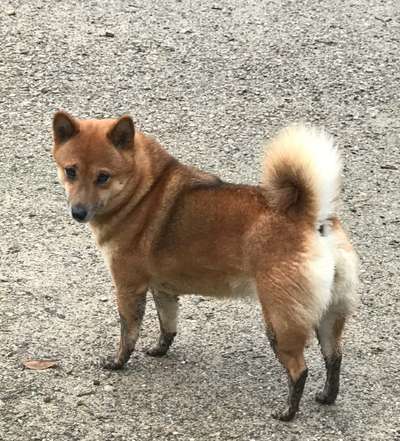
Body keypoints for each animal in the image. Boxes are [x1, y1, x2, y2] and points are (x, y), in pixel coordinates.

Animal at [50, 111, 360, 420]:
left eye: (103, 177)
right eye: (71, 171)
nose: (78, 212)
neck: (143, 191)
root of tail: (311, 217)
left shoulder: (128, 287)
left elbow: (128, 333)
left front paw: (118, 362)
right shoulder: (163, 290)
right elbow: (168, 325)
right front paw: (160, 350)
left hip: (280, 322)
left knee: (299, 370)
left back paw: (287, 412)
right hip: (329, 317)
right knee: (334, 357)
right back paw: (327, 396)